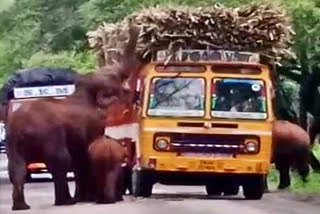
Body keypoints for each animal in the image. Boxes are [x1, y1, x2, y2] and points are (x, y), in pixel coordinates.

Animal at [5, 24, 141, 210]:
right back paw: (66, 202)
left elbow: (80, 158)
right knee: (60, 162)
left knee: (16, 168)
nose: (134, 25)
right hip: (49, 136)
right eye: (114, 80)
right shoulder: (92, 124)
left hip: (13, 142)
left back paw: (22, 206)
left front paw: (84, 198)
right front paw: (87, 198)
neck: (85, 92)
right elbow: (84, 155)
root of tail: (22, 126)